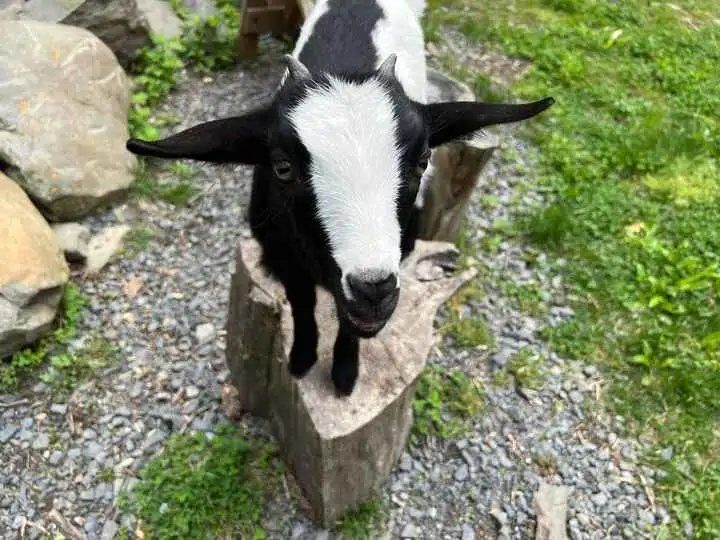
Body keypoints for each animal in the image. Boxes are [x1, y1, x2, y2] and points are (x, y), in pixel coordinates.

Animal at [126, 0, 556, 396]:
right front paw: (301, 359)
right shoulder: (282, 256)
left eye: (422, 160)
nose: (373, 289)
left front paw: (345, 374)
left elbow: (350, 326)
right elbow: (302, 304)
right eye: (282, 167)